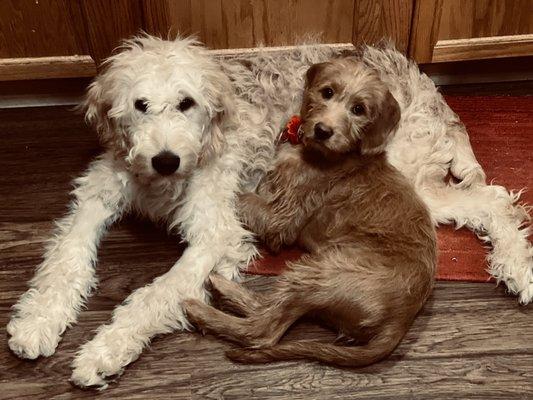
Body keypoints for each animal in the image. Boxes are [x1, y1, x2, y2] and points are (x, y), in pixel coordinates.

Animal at [6, 36, 528, 388]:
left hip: (404, 173)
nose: (166, 159)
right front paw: (38, 321)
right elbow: (65, 261)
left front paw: (104, 351)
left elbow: (157, 293)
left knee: (493, 199)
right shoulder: (97, 195)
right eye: (140, 105)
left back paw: (518, 266)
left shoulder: (215, 231)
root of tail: (420, 75)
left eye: (186, 103)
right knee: (486, 202)